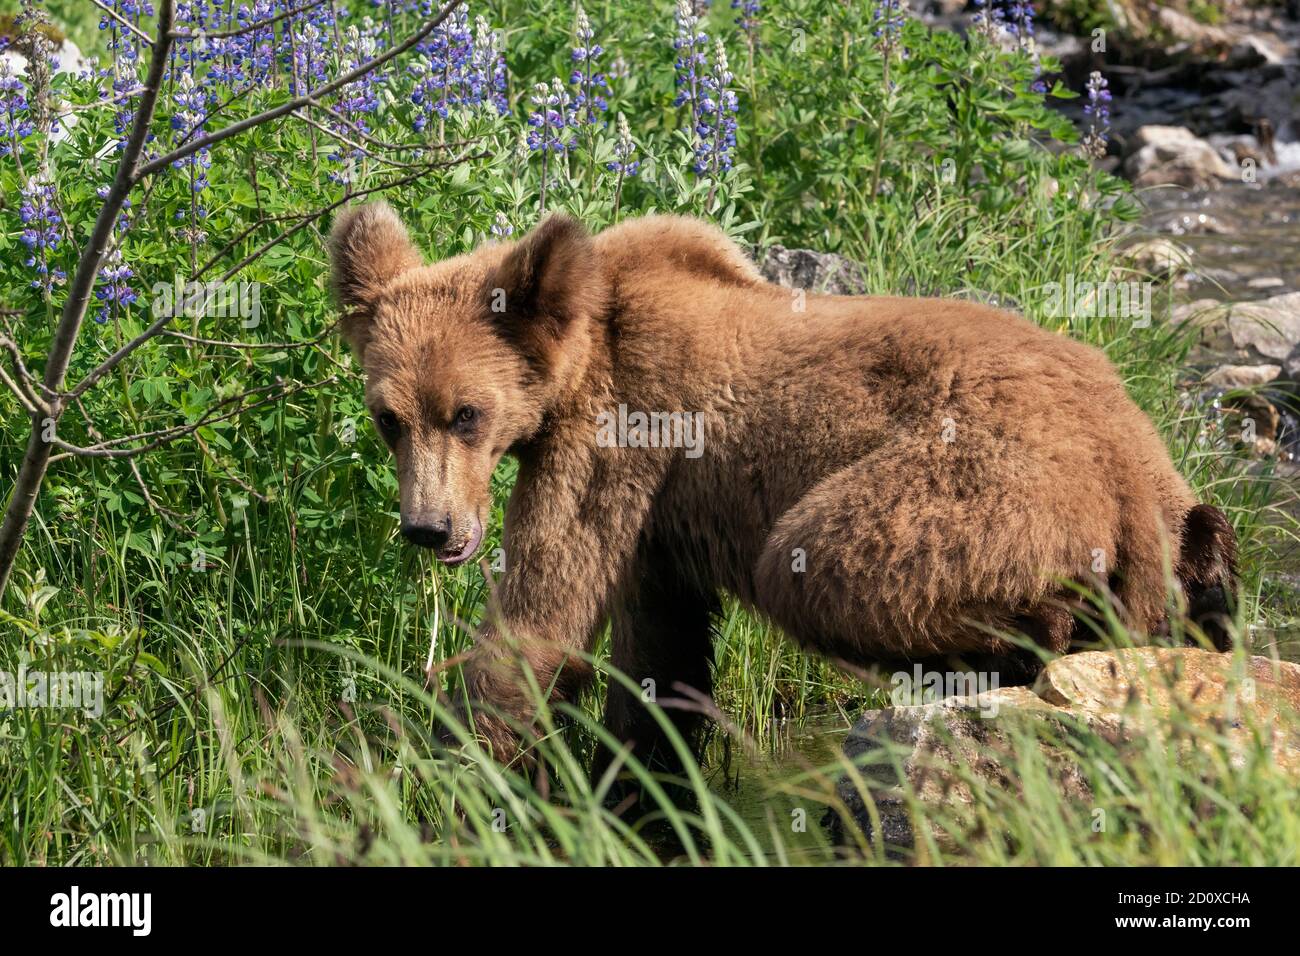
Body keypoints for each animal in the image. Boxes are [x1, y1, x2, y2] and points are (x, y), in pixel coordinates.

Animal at [327, 204, 1237, 770]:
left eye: (467, 413)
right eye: (389, 418)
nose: (431, 528)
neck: (576, 360)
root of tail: (1135, 463)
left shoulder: (617, 442)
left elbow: (542, 618)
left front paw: (455, 757)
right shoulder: (658, 519)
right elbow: (657, 653)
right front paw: (643, 773)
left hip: (983, 475)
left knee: (820, 559)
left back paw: (1028, 638)